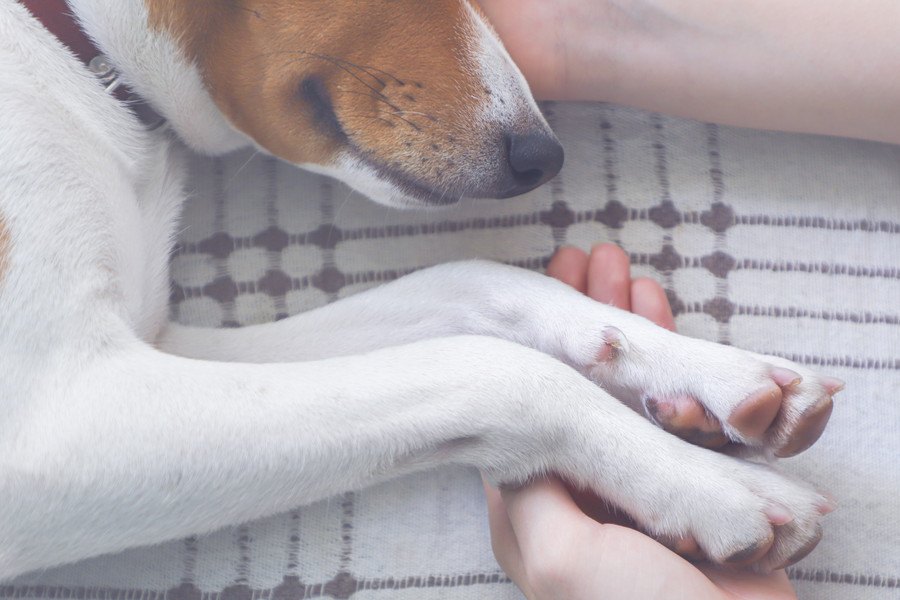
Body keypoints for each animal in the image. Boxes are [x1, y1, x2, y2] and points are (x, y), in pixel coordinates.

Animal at [1, 0, 844, 580]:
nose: (542, 155)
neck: (76, 54)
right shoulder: (56, 420)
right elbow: (495, 370)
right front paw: (713, 486)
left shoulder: (151, 343)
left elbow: (471, 281)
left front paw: (709, 375)